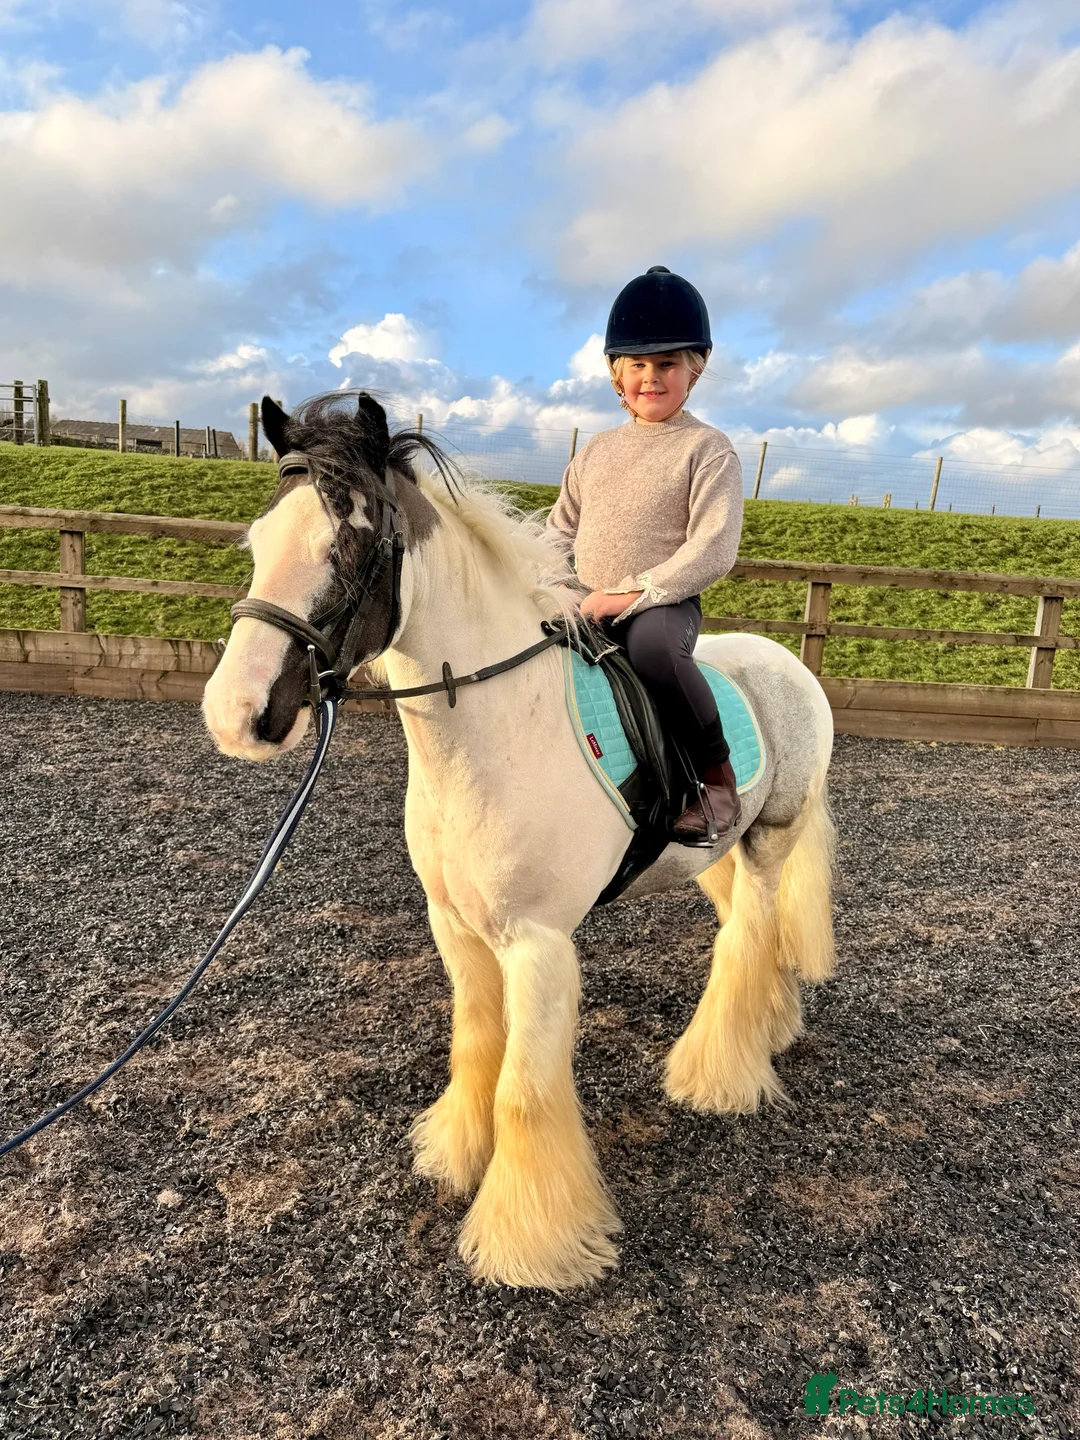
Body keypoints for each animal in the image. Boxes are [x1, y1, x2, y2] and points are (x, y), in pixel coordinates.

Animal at [203, 392, 837, 1291]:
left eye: (345, 548)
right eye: (258, 545)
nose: (236, 714)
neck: (495, 728)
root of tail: (787, 664)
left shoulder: (538, 942)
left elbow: (524, 1092)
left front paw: (528, 1240)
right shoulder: (456, 927)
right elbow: (475, 1048)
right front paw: (455, 1154)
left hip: (771, 838)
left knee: (749, 935)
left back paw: (719, 1074)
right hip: (714, 851)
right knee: (756, 929)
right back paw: (768, 1026)